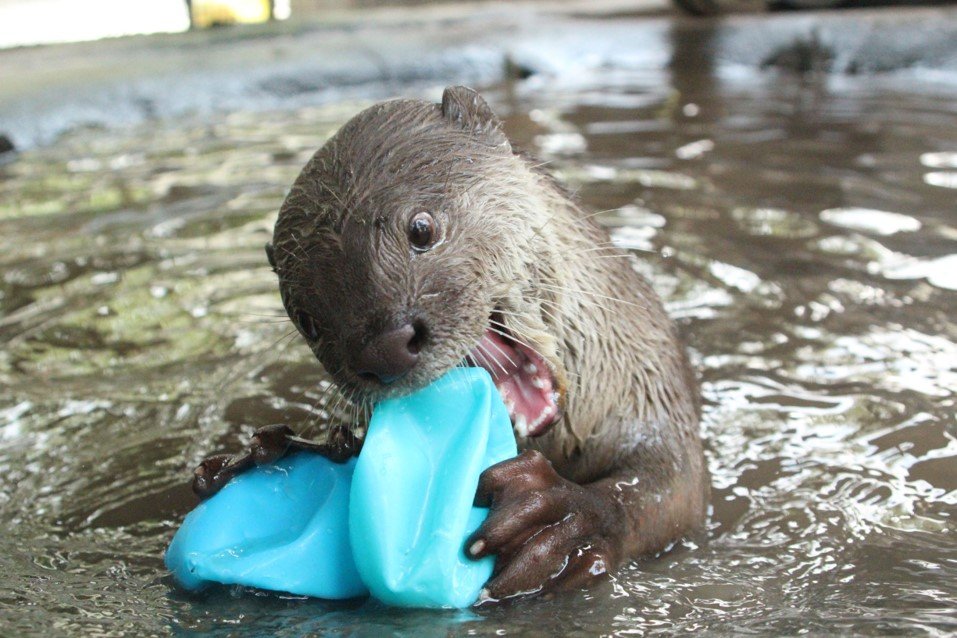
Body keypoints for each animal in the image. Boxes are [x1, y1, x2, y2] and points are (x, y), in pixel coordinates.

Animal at [193, 86, 708, 603]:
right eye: (308, 320)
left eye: (421, 228)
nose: (382, 349)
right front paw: (269, 452)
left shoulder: (651, 386)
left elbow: (674, 487)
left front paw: (563, 518)